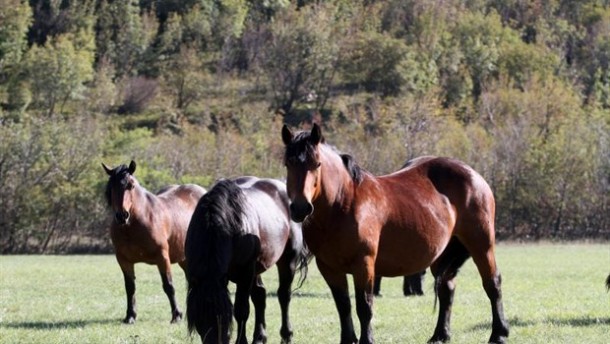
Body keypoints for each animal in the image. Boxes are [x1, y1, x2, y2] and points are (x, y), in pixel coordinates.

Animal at [100, 160, 204, 324]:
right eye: (111, 187)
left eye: (131, 185)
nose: (122, 216)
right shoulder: (123, 260)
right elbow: (130, 287)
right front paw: (130, 316)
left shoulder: (162, 257)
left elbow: (168, 285)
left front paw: (176, 315)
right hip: (184, 259)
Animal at [184, 177, 308, 344]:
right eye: (199, 318)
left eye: (224, 317)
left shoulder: (245, 272)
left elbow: (241, 309)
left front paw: (241, 341)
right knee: (260, 295)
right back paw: (259, 337)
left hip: (288, 260)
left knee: (284, 295)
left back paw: (286, 335)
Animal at [280, 124, 508, 344]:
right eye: (288, 164)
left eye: (317, 164)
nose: (300, 208)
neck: (343, 204)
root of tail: (473, 175)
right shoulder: (329, 267)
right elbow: (343, 306)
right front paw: (348, 339)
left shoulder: (364, 264)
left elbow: (364, 306)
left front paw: (367, 340)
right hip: (441, 254)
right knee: (447, 288)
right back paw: (440, 336)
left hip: (481, 245)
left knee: (492, 284)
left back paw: (499, 334)